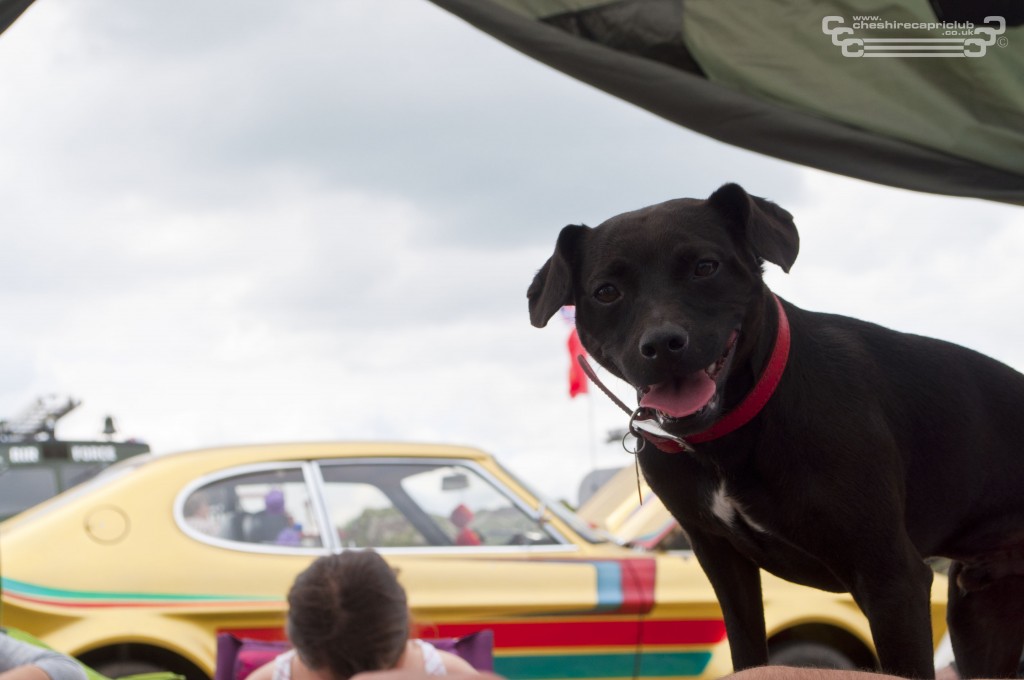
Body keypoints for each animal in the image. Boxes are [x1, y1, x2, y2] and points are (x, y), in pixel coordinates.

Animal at [532, 182, 1024, 680]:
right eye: (606, 291)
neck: (729, 437)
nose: (662, 344)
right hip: (979, 607)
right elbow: (748, 649)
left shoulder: (892, 577)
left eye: (705, 266)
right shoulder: (721, 561)